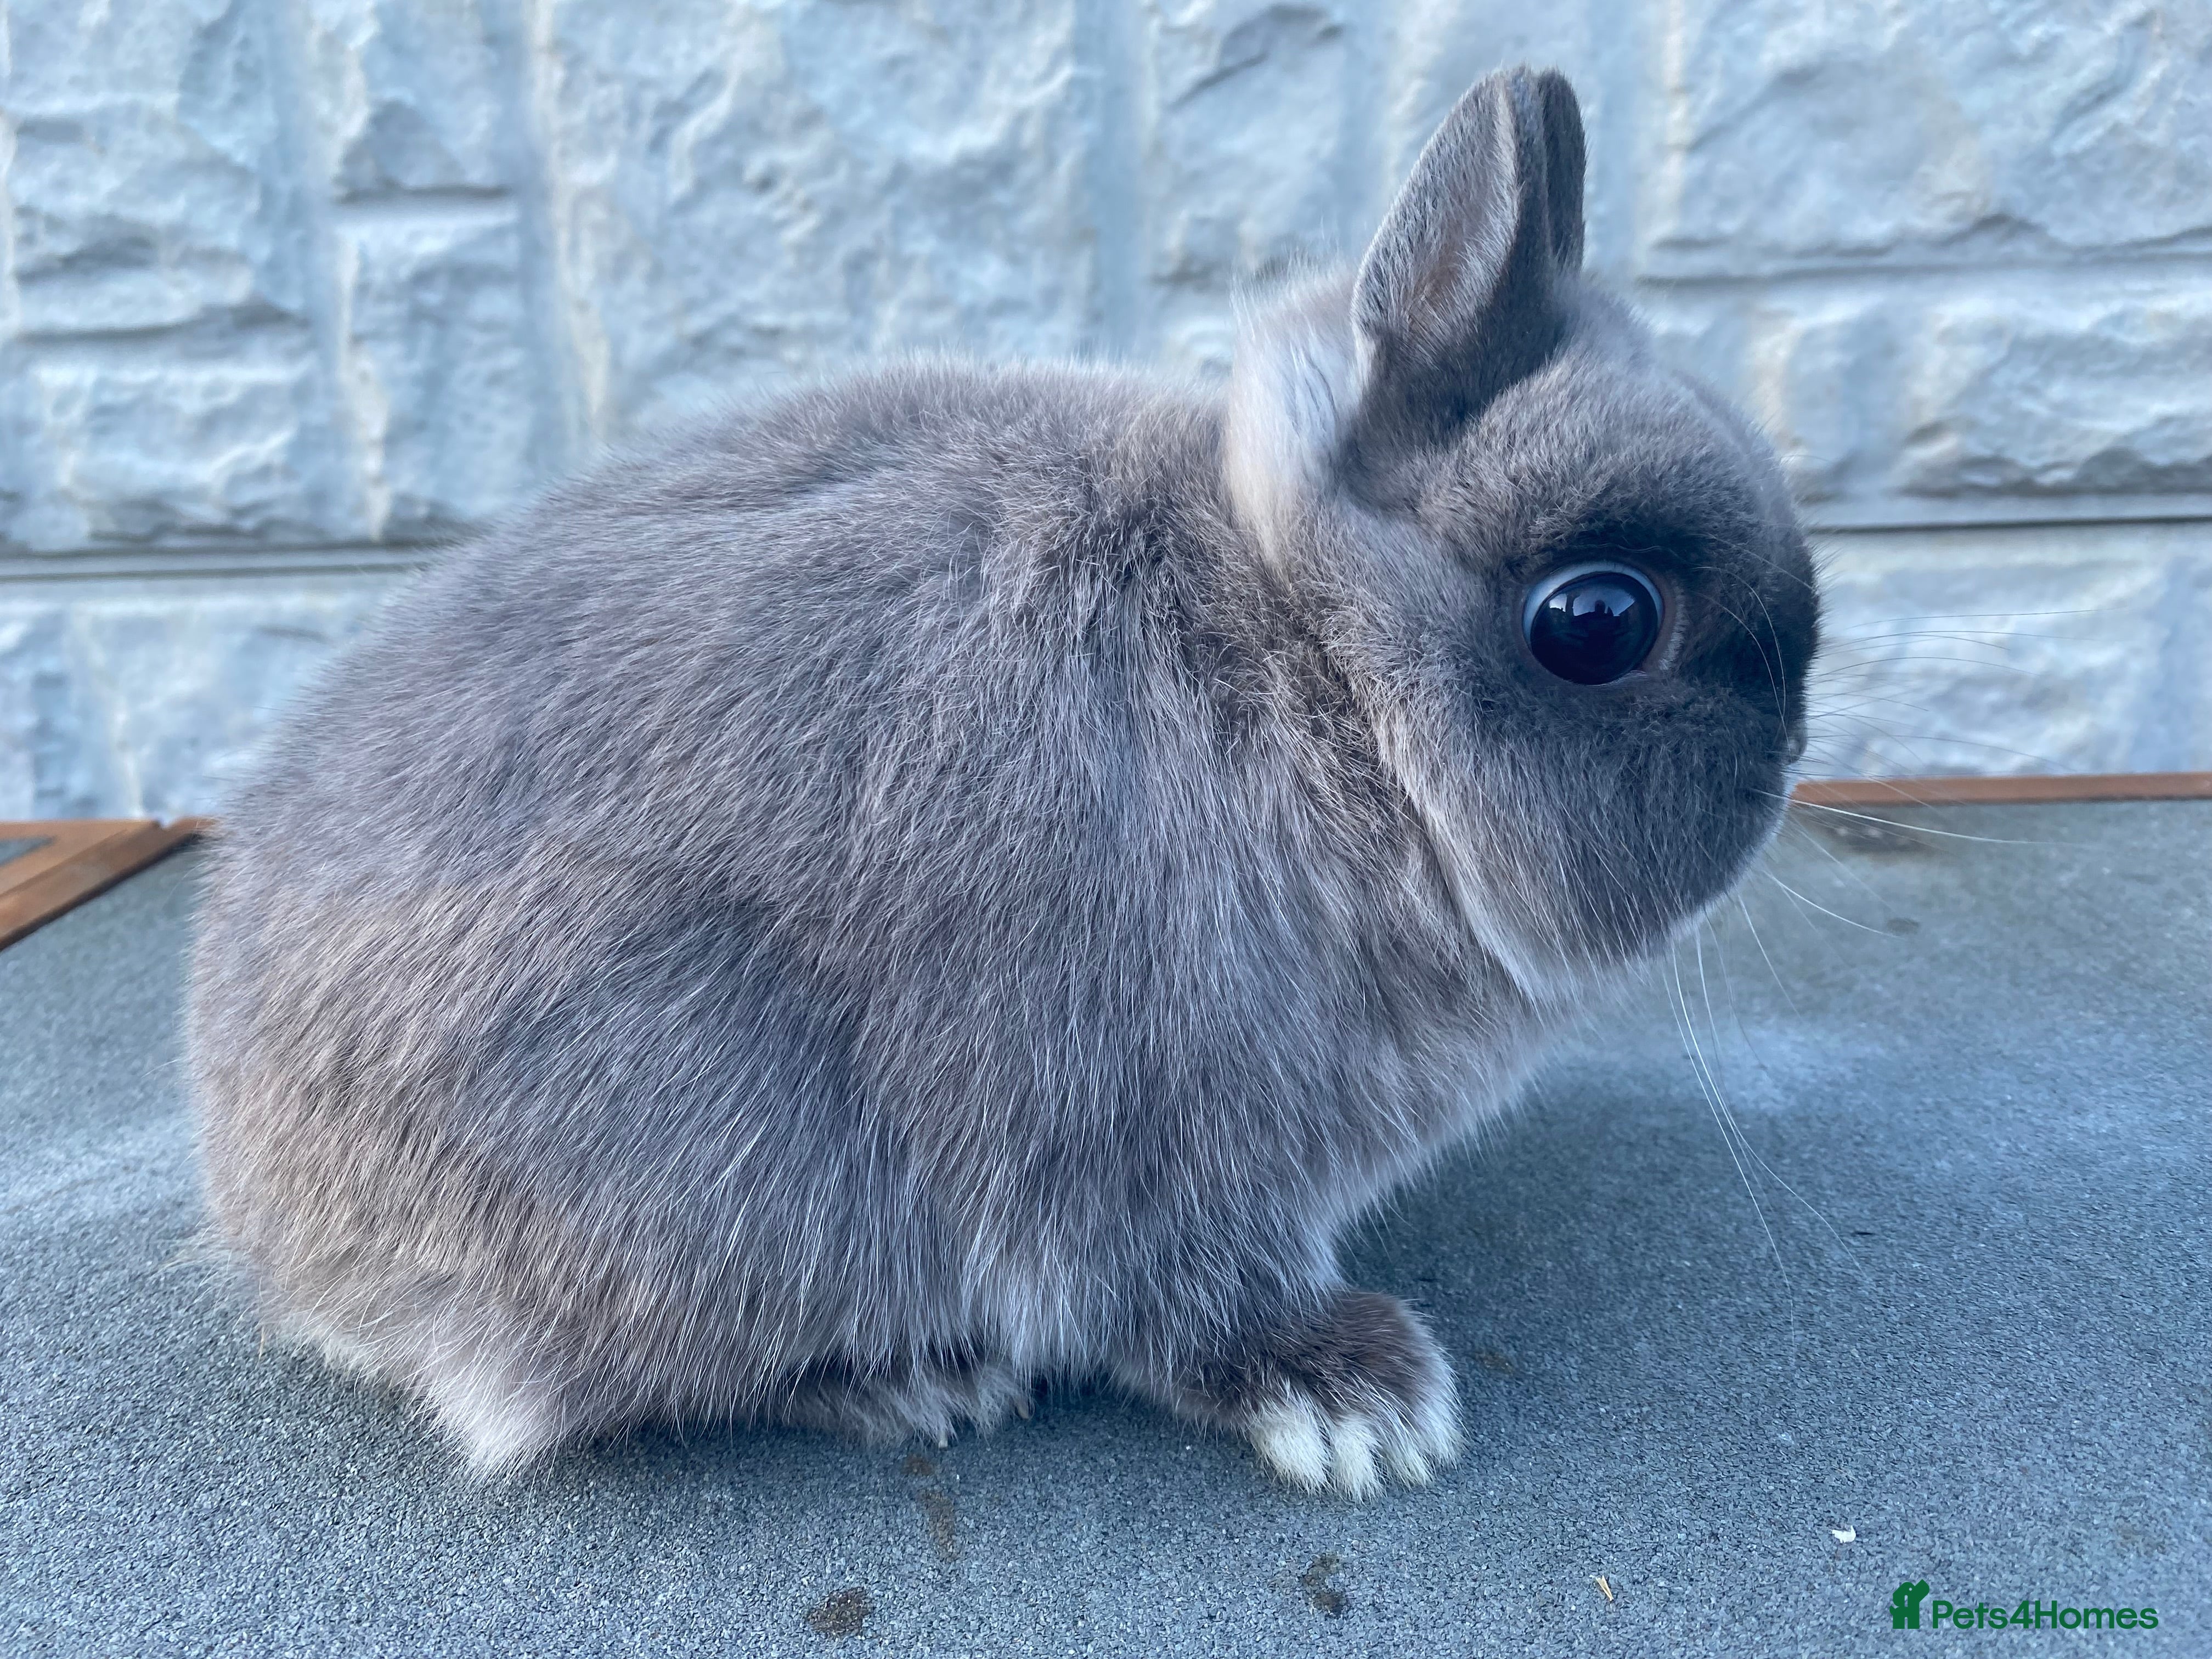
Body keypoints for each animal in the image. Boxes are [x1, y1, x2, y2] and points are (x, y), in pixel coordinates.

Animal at [187, 65, 1817, 1499]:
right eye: (1595, 623)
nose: (1797, 750)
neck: (1315, 669)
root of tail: (283, 1239)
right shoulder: (1150, 1135)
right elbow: (1184, 1303)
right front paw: (1361, 1404)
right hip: (712, 1168)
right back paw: (918, 1380)